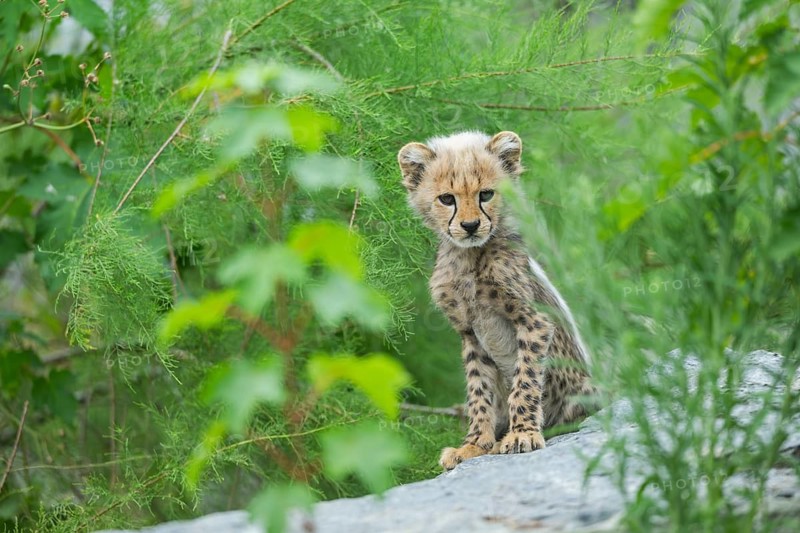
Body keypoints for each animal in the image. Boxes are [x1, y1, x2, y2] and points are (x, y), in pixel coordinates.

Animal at [397, 130, 597, 470]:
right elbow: (479, 391)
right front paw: (475, 444)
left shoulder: (534, 322)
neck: (469, 258)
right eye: (447, 199)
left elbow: (525, 381)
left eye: (486, 194)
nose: (470, 226)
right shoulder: (470, 334)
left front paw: (522, 433)